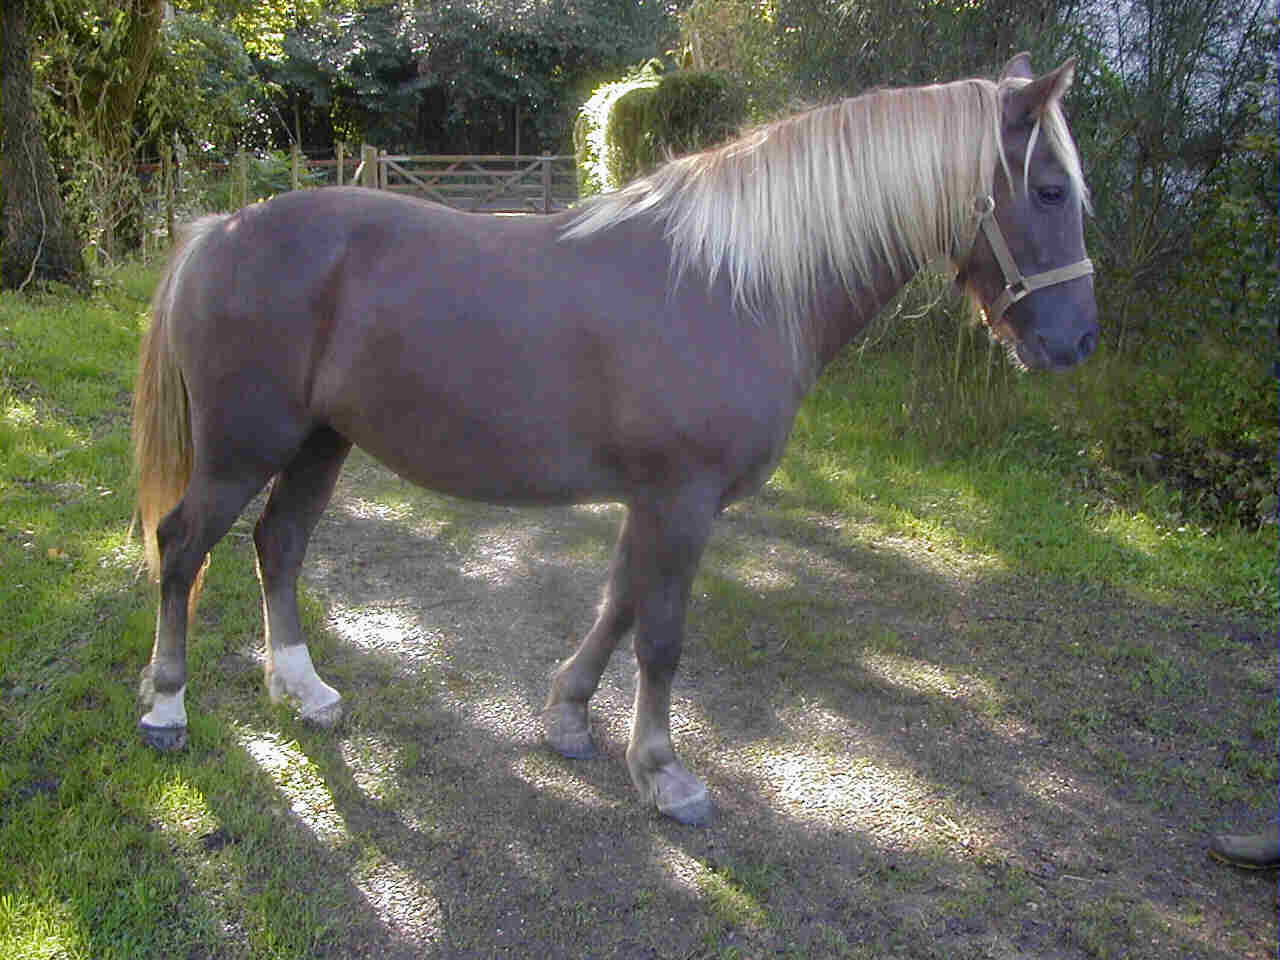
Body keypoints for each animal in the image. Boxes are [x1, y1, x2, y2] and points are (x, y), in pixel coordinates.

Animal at [132, 54, 1100, 829]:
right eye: (1050, 191)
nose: (1077, 342)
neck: (737, 282)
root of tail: (218, 230)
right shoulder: (682, 498)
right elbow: (661, 634)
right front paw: (665, 774)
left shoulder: (655, 499)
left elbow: (619, 604)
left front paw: (568, 718)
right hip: (244, 448)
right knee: (182, 546)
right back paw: (167, 707)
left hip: (317, 443)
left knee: (279, 544)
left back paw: (302, 690)